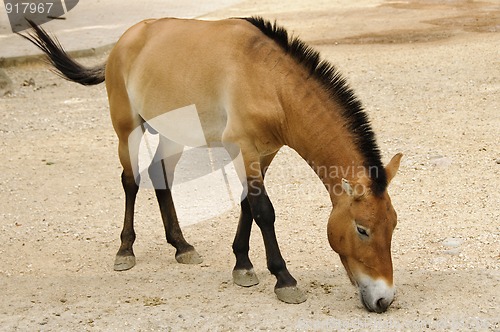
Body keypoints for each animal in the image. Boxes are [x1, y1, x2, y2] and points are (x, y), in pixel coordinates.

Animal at [21, 15, 402, 312]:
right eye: (362, 229)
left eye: (393, 226)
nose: (384, 300)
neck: (268, 80)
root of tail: (123, 42)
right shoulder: (243, 149)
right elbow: (264, 210)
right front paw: (283, 280)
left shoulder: (264, 153)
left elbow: (247, 204)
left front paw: (242, 265)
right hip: (127, 131)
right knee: (130, 181)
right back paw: (125, 250)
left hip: (172, 135)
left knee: (161, 176)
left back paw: (181, 246)